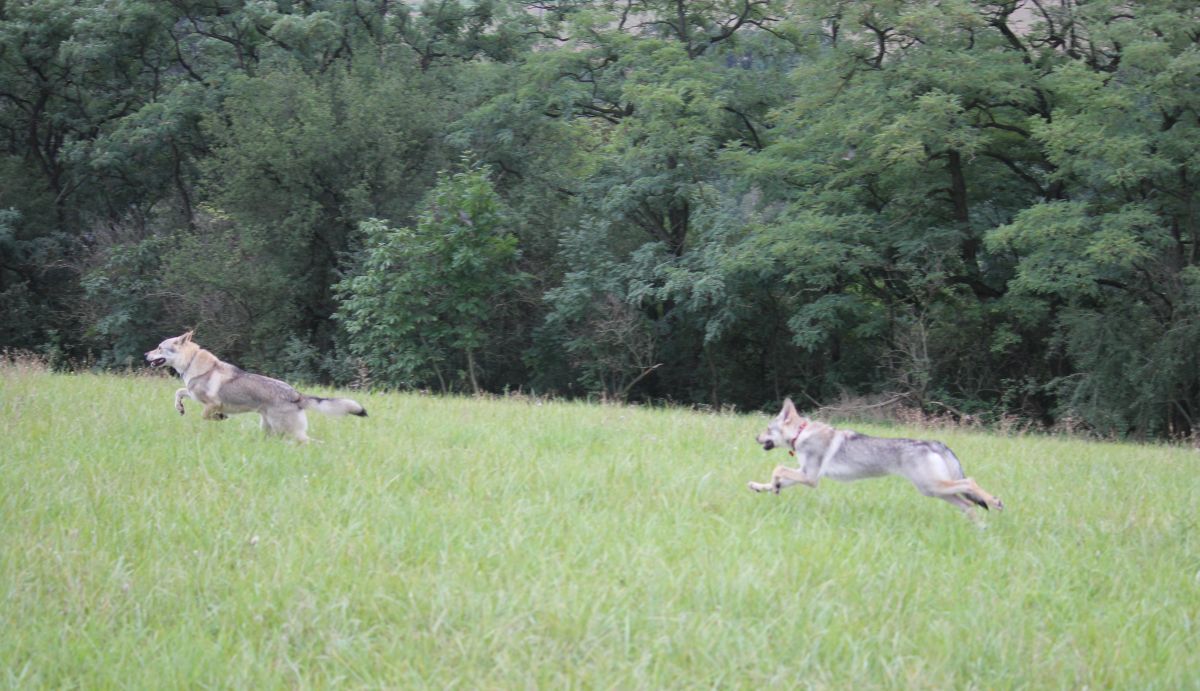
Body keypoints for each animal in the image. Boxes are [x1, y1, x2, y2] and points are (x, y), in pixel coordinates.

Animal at [144, 331, 364, 441]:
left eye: (159, 347)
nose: (145, 354)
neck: (190, 363)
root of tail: (296, 394)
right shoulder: (192, 393)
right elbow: (179, 392)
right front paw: (180, 408)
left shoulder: (212, 403)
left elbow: (205, 415)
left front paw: (220, 417)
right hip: (269, 429)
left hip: (286, 431)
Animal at [748, 395, 1003, 515]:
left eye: (767, 429)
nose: (755, 438)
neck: (801, 433)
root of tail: (934, 442)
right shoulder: (804, 473)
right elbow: (776, 479)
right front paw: (762, 487)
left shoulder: (811, 478)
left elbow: (777, 468)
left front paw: (774, 485)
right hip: (936, 491)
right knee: (968, 505)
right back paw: (980, 529)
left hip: (932, 487)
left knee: (970, 483)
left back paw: (995, 502)